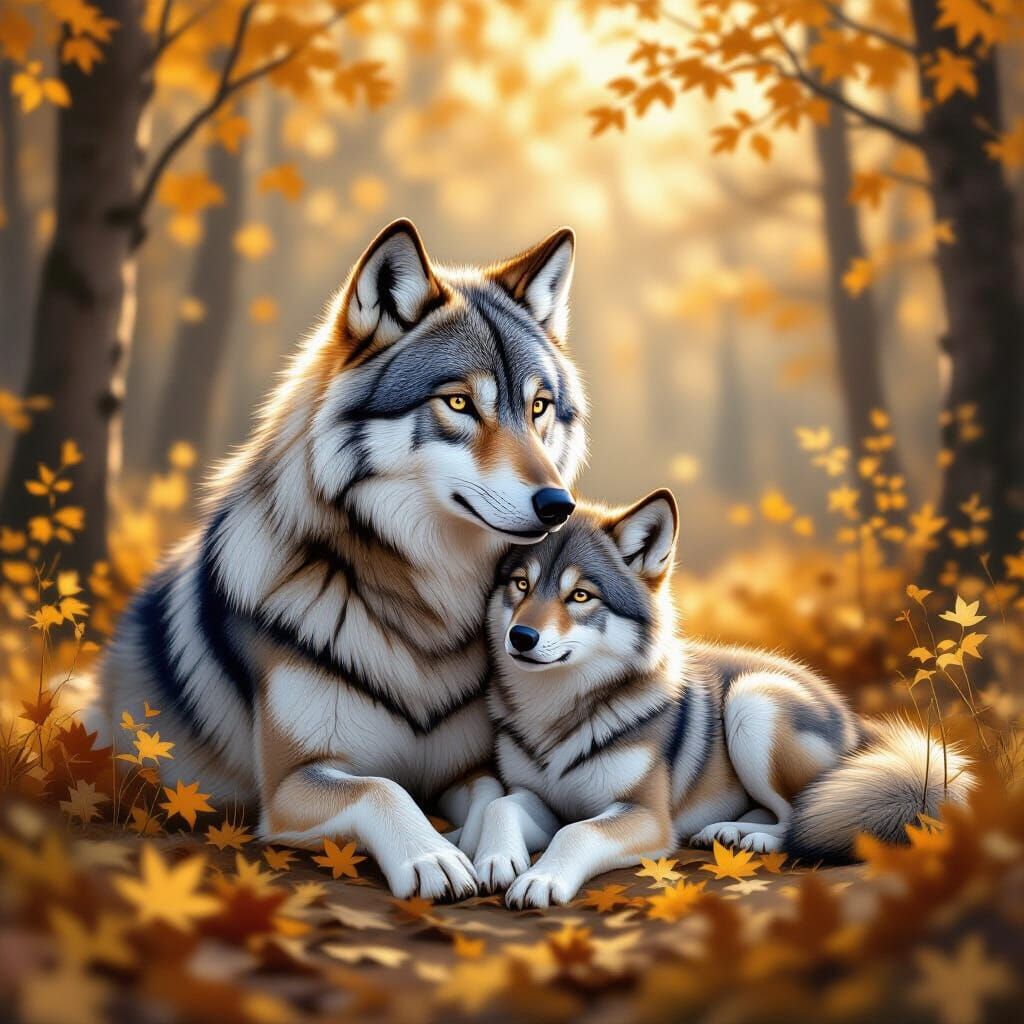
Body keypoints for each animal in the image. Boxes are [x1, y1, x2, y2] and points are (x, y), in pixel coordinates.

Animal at [89, 219, 589, 899]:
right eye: (459, 403)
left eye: (538, 407)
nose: (558, 505)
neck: (422, 614)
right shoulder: (292, 782)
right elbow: (383, 789)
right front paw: (432, 857)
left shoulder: (468, 767)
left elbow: (493, 795)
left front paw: (486, 848)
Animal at [470, 490, 974, 907]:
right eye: (521, 585)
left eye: (579, 595)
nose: (521, 637)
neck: (557, 714)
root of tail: (854, 718)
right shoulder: (539, 797)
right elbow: (501, 804)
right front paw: (495, 859)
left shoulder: (646, 815)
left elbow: (575, 834)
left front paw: (542, 879)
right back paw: (726, 830)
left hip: (752, 702)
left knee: (803, 816)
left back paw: (751, 838)